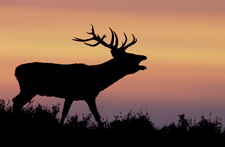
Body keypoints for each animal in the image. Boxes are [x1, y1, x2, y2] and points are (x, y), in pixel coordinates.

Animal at [12, 25, 147, 127]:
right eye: (127, 56)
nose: (143, 56)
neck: (99, 80)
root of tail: (16, 70)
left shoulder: (77, 96)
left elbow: (66, 113)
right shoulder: (83, 95)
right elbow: (95, 116)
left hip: (28, 89)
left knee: (16, 101)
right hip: (29, 88)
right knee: (16, 101)